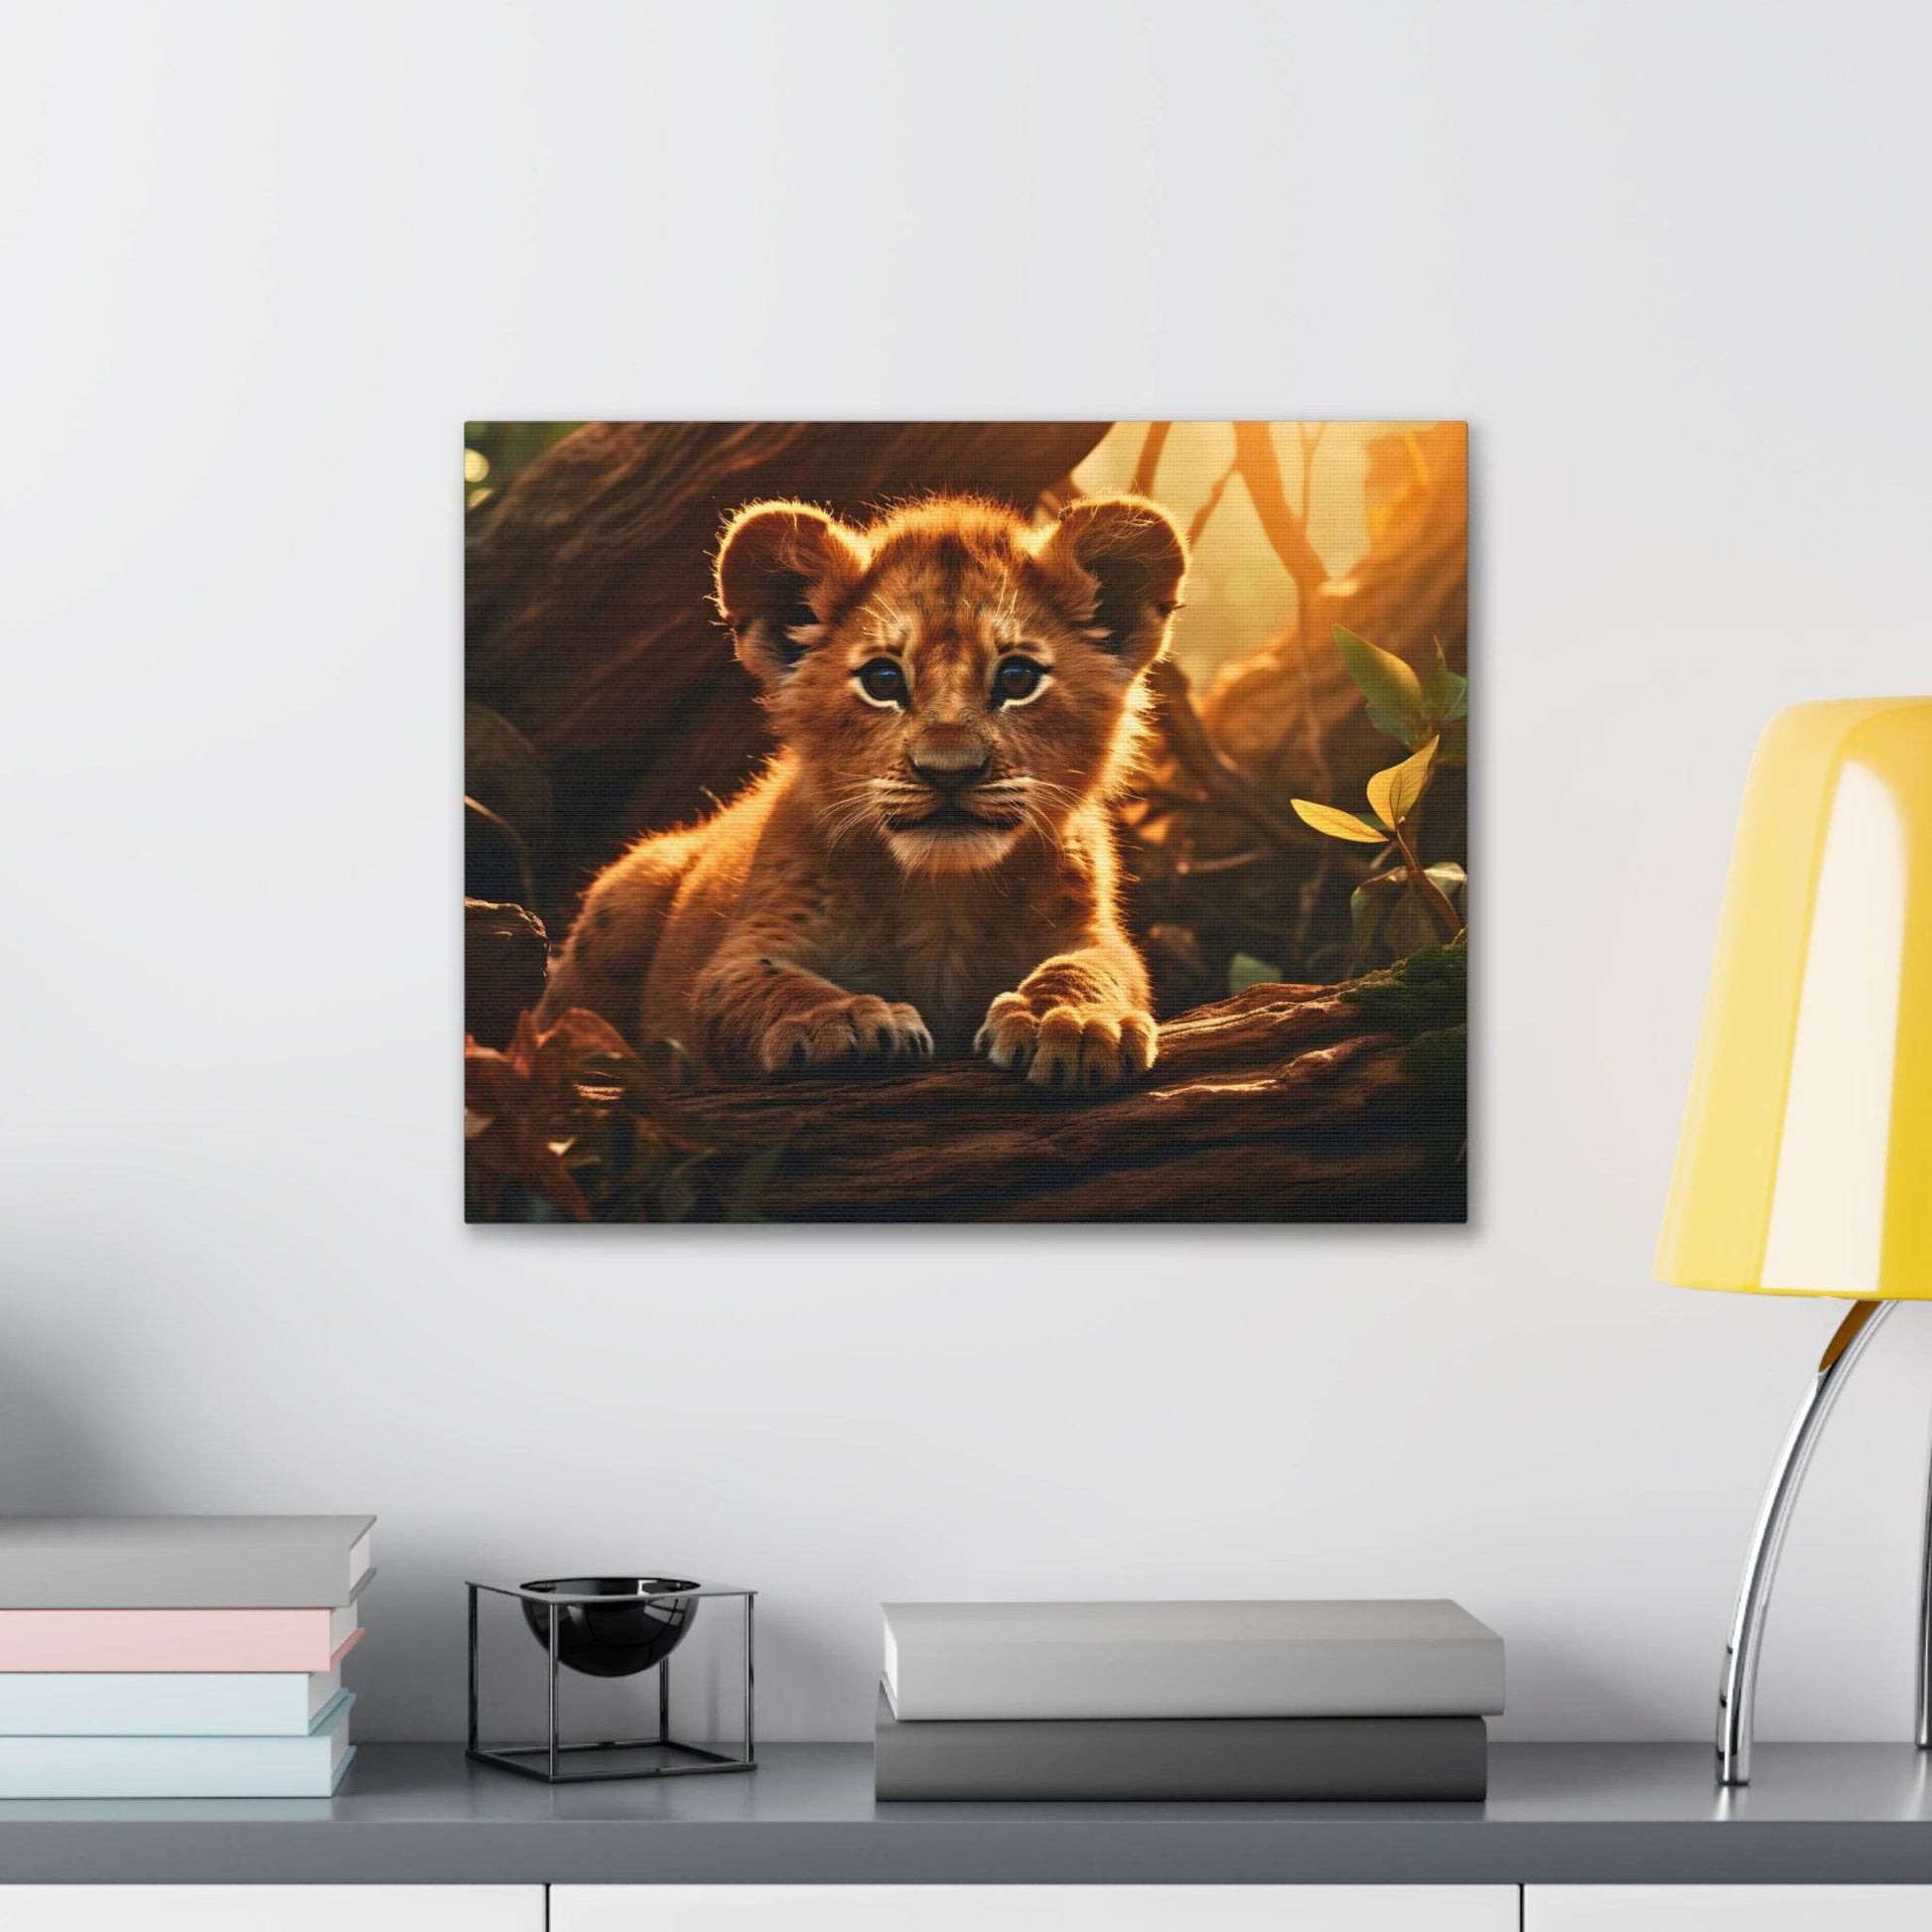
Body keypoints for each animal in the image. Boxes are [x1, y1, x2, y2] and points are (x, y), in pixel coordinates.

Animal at [535, 490, 1188, 1091]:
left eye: (1018, 677)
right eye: (882, 679)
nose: (949, 770)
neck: (942, 899)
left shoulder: (1093, 931)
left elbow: (1093, 967)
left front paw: (1072, 1021)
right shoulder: (746, 947)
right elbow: (767, 985)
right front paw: (841, 1020)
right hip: (628, 892)